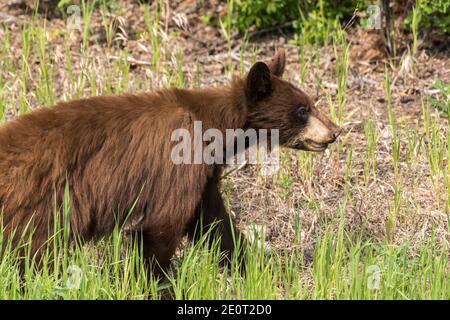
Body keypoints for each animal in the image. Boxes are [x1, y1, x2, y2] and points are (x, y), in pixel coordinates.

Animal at [0, 48, 342, 274]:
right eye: (302, 110)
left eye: (311, 103)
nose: (335, 132)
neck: (213, 128)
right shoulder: (177, 164)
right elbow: (162, 226)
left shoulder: (204, 175)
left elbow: (215, 223)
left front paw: (258, 269)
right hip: (37, 206)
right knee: (31, 255)